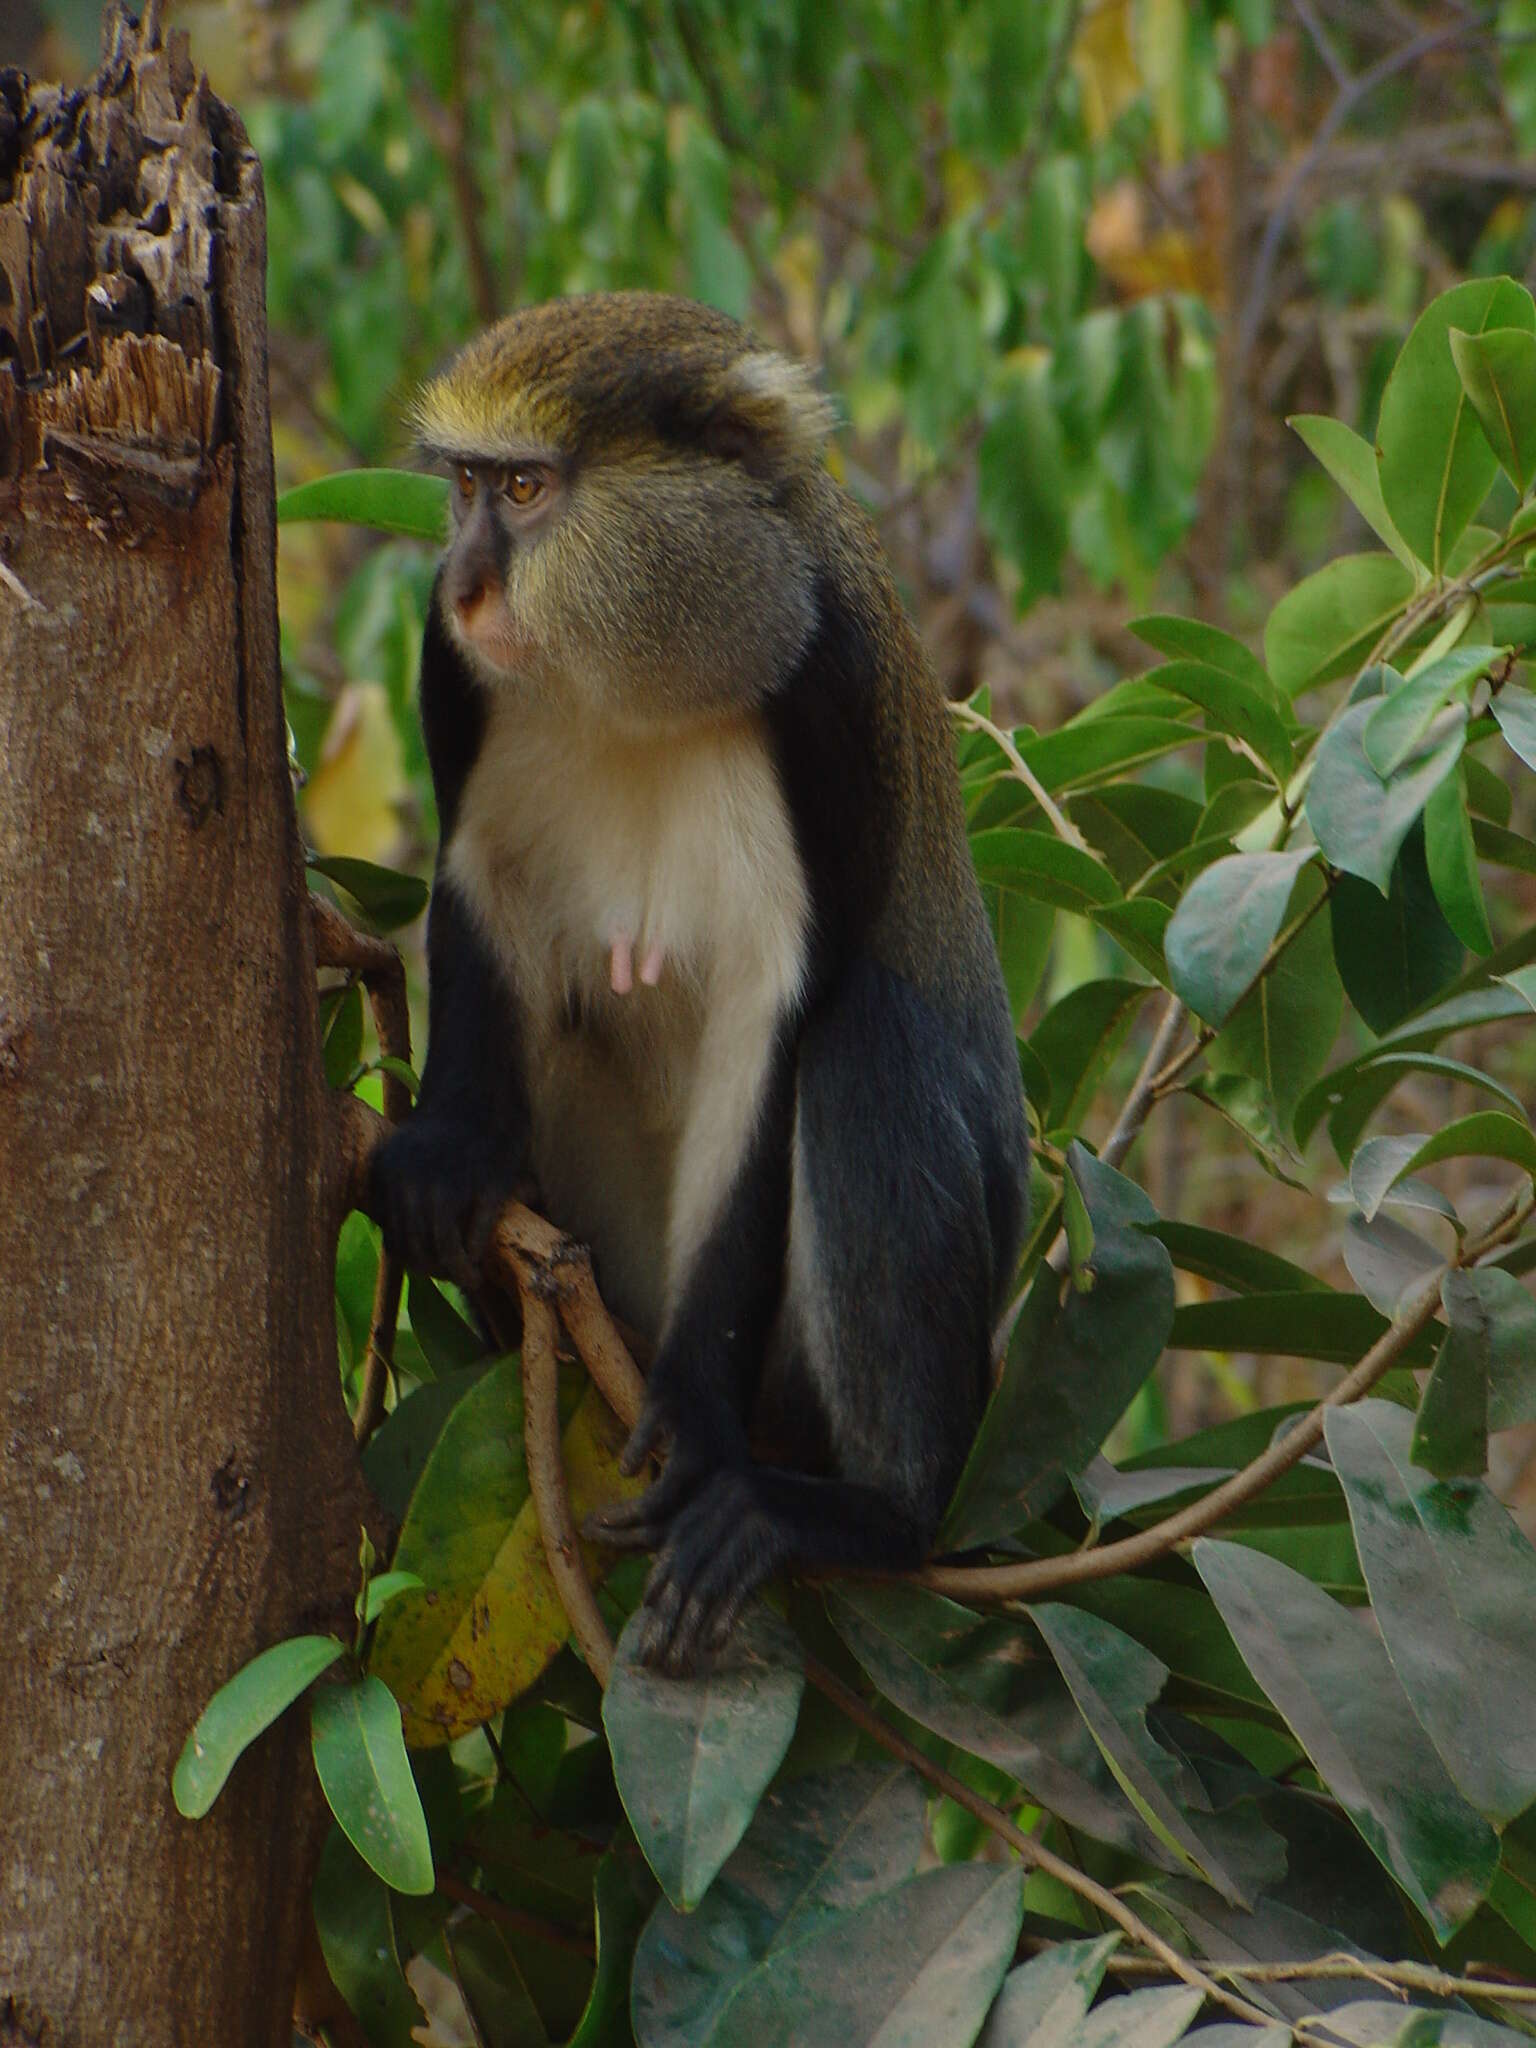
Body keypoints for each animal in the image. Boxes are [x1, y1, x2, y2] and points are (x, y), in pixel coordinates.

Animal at [376, 288, 1036, 1671]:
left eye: (527, 488)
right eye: (465, 489)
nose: (462, 584)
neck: (635, 679)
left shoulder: (825, 691)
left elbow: (773, 1018)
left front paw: (687, 1408)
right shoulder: (453, 681)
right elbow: (483, 904)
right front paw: (451, 1154)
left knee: (863, 1041)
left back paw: (863, 1510)